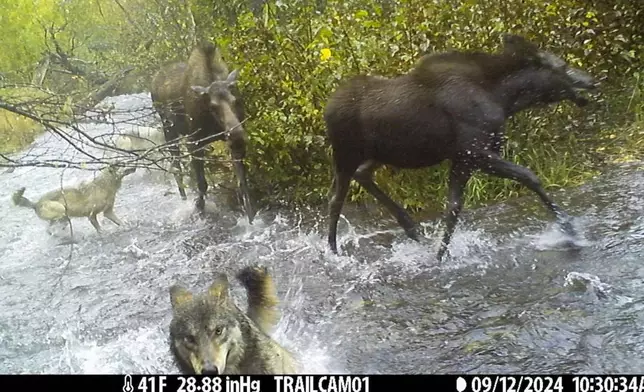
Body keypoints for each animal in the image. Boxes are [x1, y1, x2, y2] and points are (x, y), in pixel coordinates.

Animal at [150, 42, 254, 224]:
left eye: (235, 100)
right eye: (213, 106)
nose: (237, 136)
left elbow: (243, 184)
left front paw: (251, 221)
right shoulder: (195, 142)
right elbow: (201, 183)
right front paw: (198, 208)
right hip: (169, 130)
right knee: (176, 167)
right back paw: (184, 200)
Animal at [324, 33, 596, 260]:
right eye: (562, 66)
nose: (592, 80)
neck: (504, 99)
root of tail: (327, 109)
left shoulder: (462, 158)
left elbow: (453, 208)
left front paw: (440, 256)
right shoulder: (476, 153)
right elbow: (529, 176)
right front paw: (570, 231)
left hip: (379, 155)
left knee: (362, 175)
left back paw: (411, 227)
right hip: (345, 153)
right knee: (336, 200)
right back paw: (333, 251)